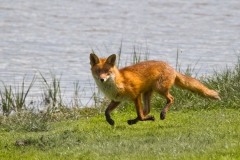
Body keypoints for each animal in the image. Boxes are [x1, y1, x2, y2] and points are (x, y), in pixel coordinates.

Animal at [89, 53, 220, 125]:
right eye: (98, 71)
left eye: (107, 71)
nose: (102, 79)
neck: (118, 82)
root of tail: (170, 67)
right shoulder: (117, 99)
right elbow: (106, 111)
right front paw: (110, 121)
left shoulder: (135, 96)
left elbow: (140, 114)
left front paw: (147, 119)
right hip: (147, 94)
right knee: (147, 109)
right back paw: (134, 121)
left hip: (159, 89)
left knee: (171, 99)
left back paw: (162, 114)